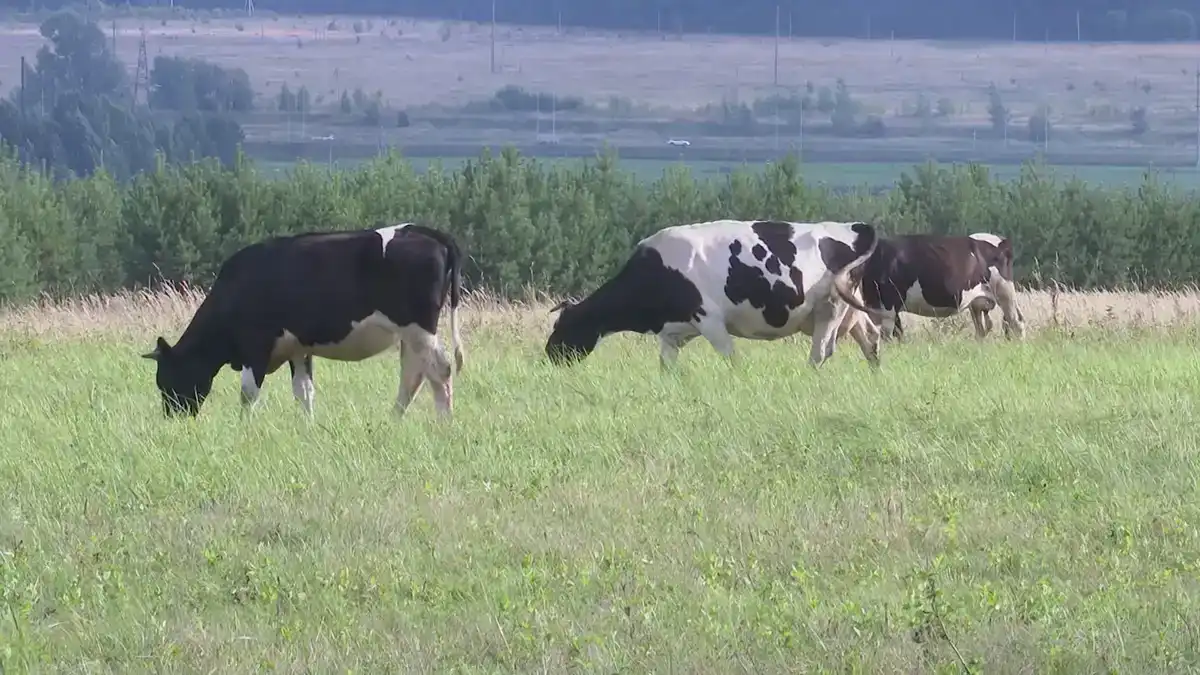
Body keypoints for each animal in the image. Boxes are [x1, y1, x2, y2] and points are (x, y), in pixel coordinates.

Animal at [141, 222, 465, 419]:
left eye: (166, 380)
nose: (174, 418)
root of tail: (426, 232)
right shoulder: (298, 348)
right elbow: (303, 391)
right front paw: (308, 425)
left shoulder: (255, 346)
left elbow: (248, 393)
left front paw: (245, 427)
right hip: (410, 334)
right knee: (414, 375)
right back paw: (394, 419)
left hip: (418, 328)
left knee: (440, 371)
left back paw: (444, 422)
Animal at [544, 219, 889, 369]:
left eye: (562, 326)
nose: (548, 354)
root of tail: (854, 226)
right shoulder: (671, 333)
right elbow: (667, 367)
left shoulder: (709, 320)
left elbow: (731, 358)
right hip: (851, 309)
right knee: (870, 339)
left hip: (829, 308)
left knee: (820, 353)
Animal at [859, 231, 1026, 342]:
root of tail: (1002, 240)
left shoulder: (887, 305)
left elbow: (887, 336)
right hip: (977, 303)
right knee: (981, 329)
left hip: (1005, 291)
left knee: (1017, 322)